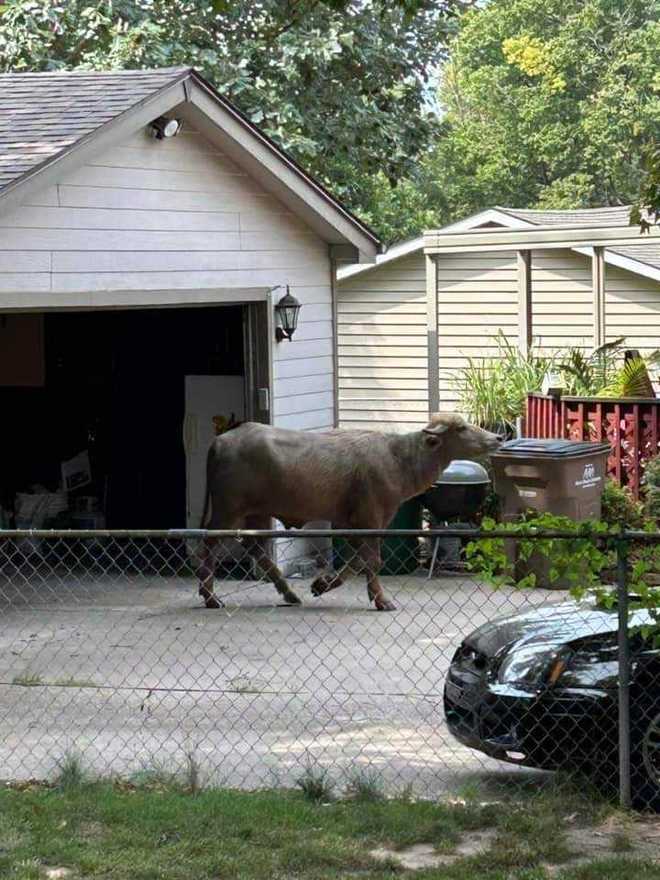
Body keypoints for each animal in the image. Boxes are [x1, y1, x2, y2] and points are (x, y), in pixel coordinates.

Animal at [196, 414, 500, 612]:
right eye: (461, 427)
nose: (497, 437)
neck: (398, 459)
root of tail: (221, 440)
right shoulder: (372, 519)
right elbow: (372, 561)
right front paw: (382, 600)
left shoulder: (351, 523)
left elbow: (356, 562)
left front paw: (322, 584)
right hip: (228, 509)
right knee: (210, 542)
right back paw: (210, 596)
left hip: (257, 513)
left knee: (255, 547)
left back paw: (290, 594)